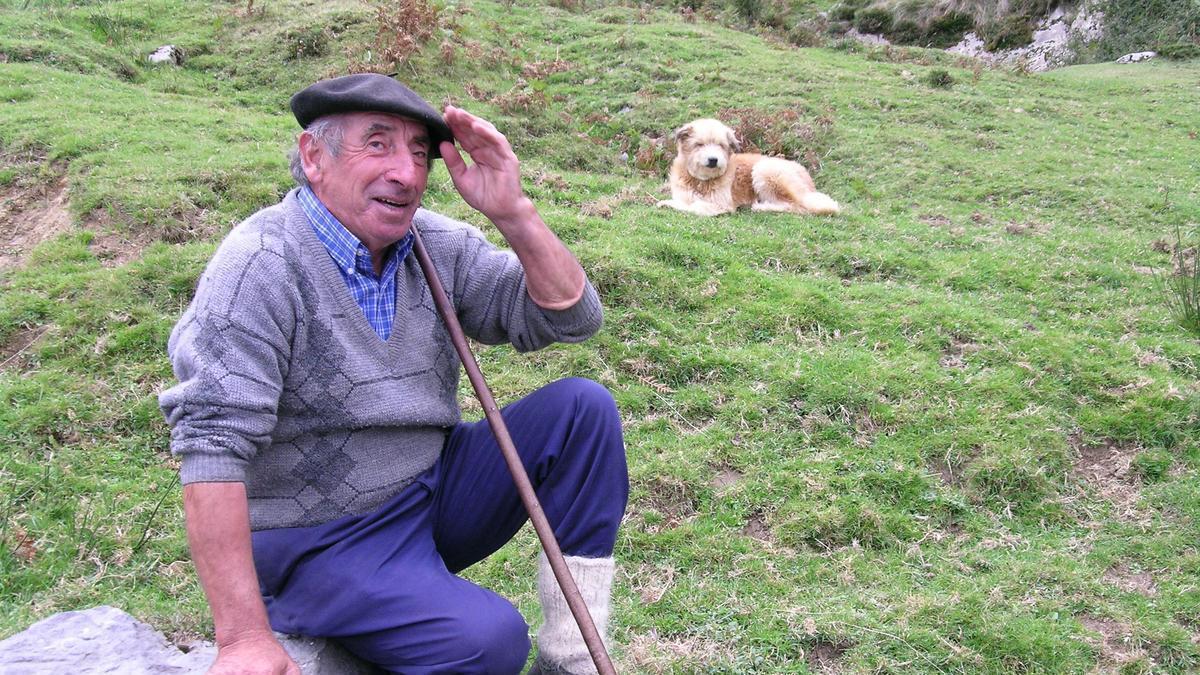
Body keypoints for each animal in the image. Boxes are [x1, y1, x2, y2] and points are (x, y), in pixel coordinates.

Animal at [657, 118, 844, 216]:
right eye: (699, 144)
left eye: (721, 145)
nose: (713, 160)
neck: (699, 180)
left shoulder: (721, 204)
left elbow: (695, 207)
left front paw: (667, 204)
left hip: (765, 170)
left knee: (797, 206)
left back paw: (762, 207)